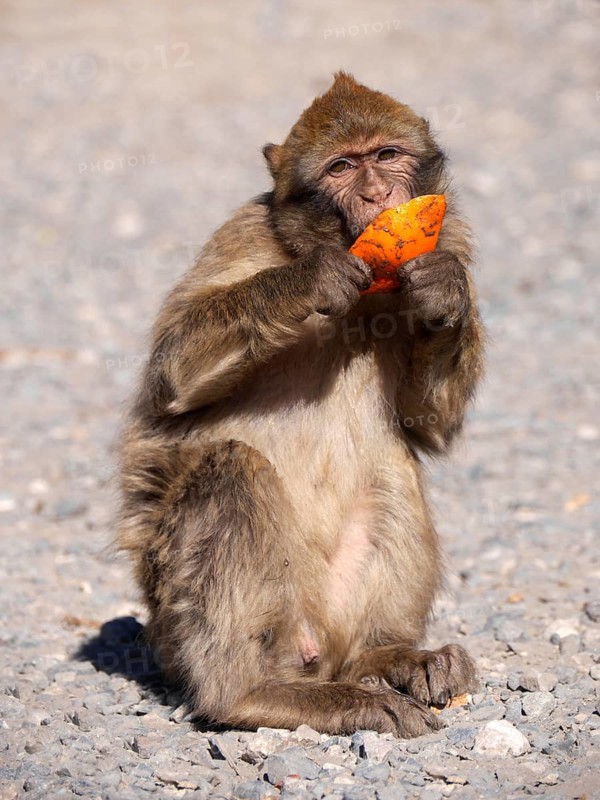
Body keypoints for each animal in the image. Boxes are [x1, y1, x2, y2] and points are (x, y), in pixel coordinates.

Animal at [117, 72, 484, 738]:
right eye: (341, 167)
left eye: (386, 155)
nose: (375, 192)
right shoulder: (242, 237)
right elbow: (172, 377)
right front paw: (311, 281)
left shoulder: (455, 242)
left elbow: (429, 426)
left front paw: (441, 295)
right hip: (183, 623)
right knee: (229, 469)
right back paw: (251, 694)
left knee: (391, 469)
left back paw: (388, 655)